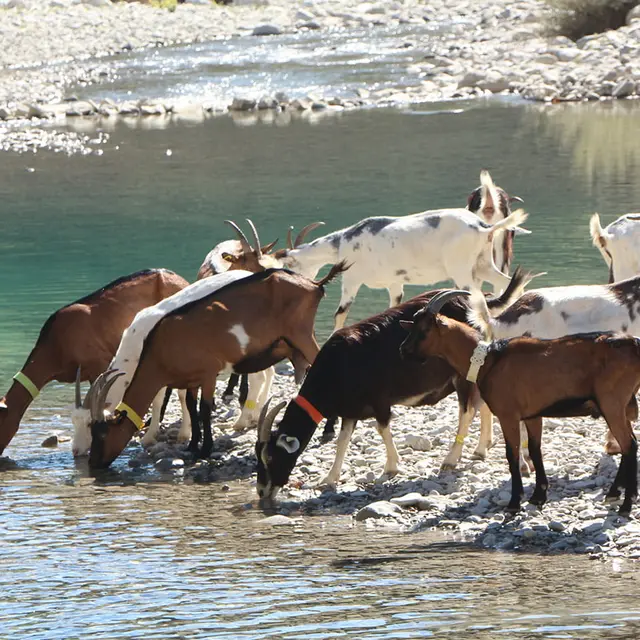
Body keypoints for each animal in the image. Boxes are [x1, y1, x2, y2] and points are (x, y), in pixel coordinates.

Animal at [88, 264, 347, 468]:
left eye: (102, 434)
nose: (93, 464)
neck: (160, 347)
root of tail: (314, 284)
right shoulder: (190, 379)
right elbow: (191, 406)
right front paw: (193, 445)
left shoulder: (209, 372)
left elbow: (204, 408)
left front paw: (205, 449)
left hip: (302, 335)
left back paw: (329, 428)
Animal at [254, 270, 527, 501]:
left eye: (270, 457)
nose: (262, 491)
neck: (338, 365)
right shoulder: (351, 409)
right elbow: (343, 441)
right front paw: (329, 478)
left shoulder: (379, 399)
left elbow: (382, 427)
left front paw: (391, 467)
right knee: (482, 404)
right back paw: (481, 448)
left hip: (462, 373)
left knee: (467, 410)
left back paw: (451, 458)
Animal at [276, 197, 529, 330]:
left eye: (292, 266)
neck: (343, 243)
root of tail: (483, 227)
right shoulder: (394, 283)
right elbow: (391, 306)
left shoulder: (351, 279)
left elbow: (340, 313)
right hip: (482, 264)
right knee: (508, 284)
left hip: (462, 271)